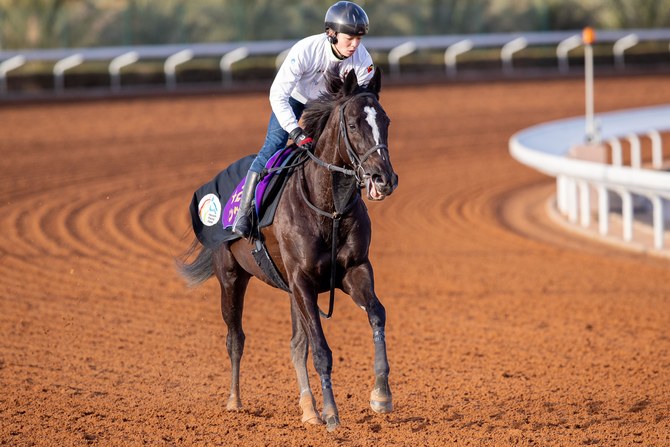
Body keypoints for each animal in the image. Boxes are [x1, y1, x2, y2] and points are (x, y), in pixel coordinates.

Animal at [178, 68, 400, 432]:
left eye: (385, 120)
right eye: (354, 124)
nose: (384, 179)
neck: (329, 208)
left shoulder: (353, 270)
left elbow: (376, 315)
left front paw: (381, 395)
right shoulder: (303, 281)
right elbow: (321, 350)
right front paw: (332, 413)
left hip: (289, 290)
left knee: (296, 345)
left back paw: (308, 409)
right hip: (231, 278)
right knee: (235, 338)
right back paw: (235, 401)